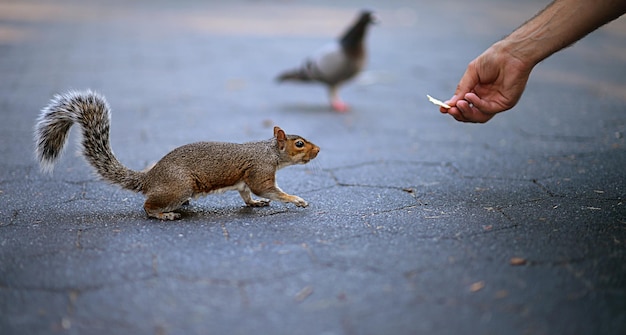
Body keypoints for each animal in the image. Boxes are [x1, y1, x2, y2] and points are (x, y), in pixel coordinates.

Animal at [33, 90, 322, 220]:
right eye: (299, 144)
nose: (318, 150)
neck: (269, 152)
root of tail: (150, 178)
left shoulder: (244, 180)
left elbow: (246, 194)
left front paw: (255, 204)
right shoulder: (260, 172)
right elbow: (270, 191)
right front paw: (297, 200)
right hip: (180, 187)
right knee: (148, 207)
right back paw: (165, 215)